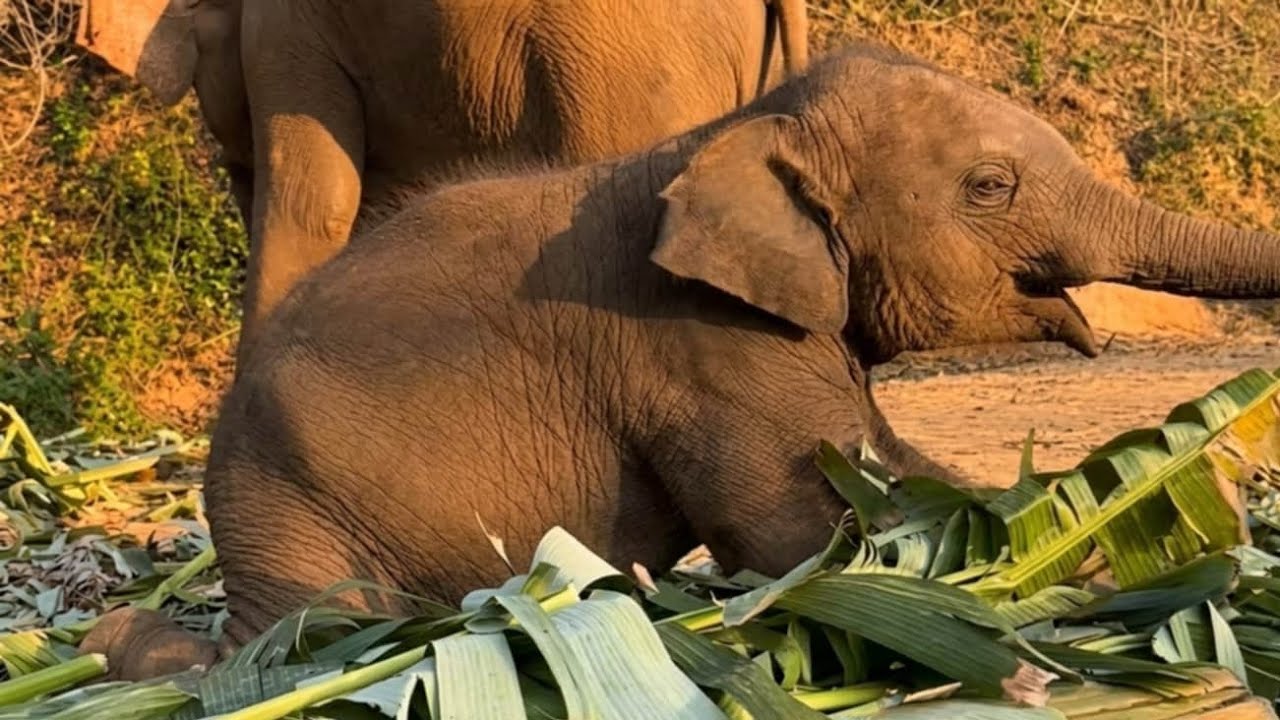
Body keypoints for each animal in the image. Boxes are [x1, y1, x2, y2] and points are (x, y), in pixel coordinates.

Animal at [83, 42, 1280, 679]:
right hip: (313, 521)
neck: (744, 128)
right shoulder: (702, 345)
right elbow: (805, 527)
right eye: (989, 187)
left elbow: (888, 473)